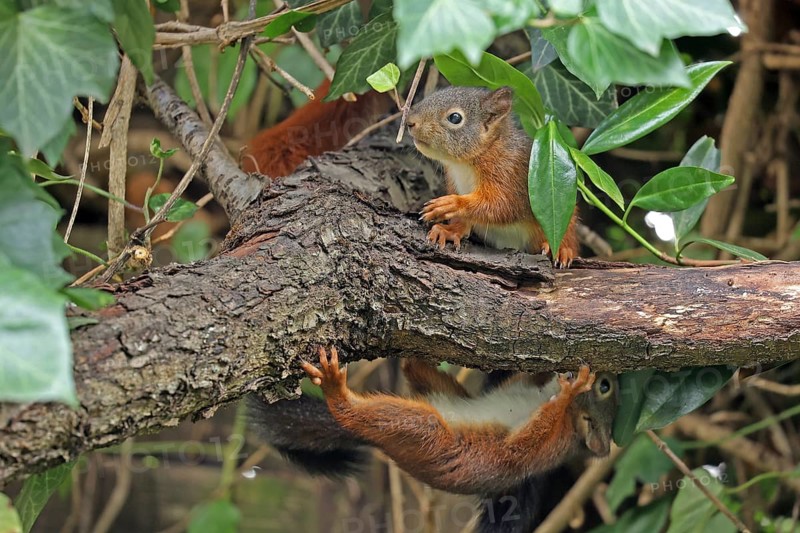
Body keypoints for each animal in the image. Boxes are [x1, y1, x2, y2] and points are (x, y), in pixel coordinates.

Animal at [250, 347, 617, 532]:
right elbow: (528, 375)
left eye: (605, 387)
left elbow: (522, 447)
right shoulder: (525, 385)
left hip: (424, 432)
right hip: (440, 394)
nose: (606, 373)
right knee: (417, 372)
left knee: (366, 414)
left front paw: (570, 392)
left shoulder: (549, 444)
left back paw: (338, 395)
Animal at [408, 86, 580, 268]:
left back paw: (563, 250)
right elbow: (465, 221)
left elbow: (501, 205)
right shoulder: (453, 180)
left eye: (455, 118)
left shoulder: (509, 171)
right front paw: (450, 230)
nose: (410, 122)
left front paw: (452, 204)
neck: (464, 164)